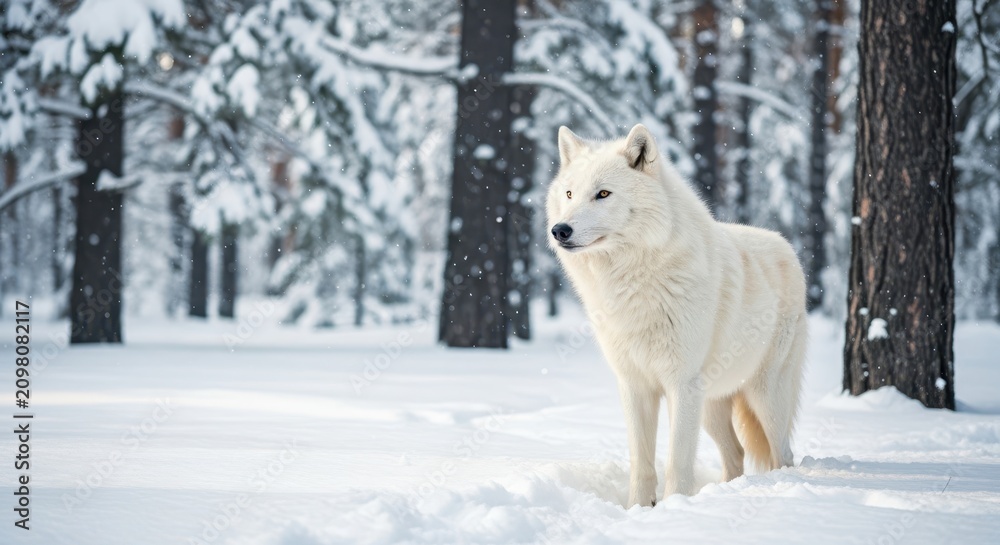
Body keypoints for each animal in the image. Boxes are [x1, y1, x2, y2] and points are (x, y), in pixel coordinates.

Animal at [547, 124, 808, 507]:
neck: (634, 283)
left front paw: (671, 509)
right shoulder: (634, 385)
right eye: (568, 193)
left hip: (764, 396)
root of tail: (787, 246)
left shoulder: (681, 385)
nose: (560, 230)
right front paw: (639, 509)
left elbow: (676, 463)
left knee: (783, 455)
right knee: (737, 453)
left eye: (603, 194)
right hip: (711, 405)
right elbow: (642, 463)